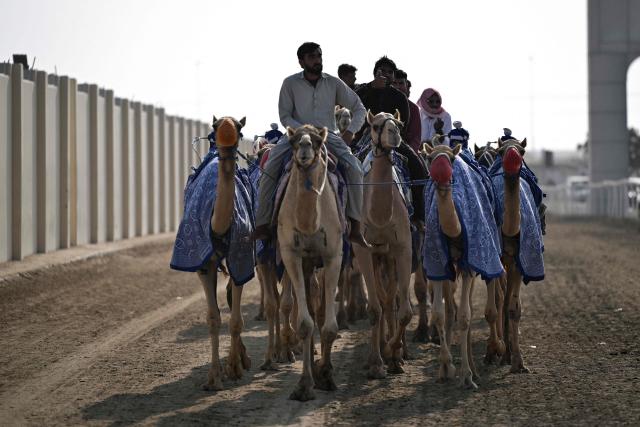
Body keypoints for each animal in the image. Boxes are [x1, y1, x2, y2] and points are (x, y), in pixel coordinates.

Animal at [421, 136, 504, 389]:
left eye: (450, 158)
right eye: (430, 157)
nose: (441, 175)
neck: (454, 231)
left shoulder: (469, 266)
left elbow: (466, 317)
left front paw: (466, 375)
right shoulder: (439, 266)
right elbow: (439, 314)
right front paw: (446, 366)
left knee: (468, 309)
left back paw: (475, 370)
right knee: (451, 310)